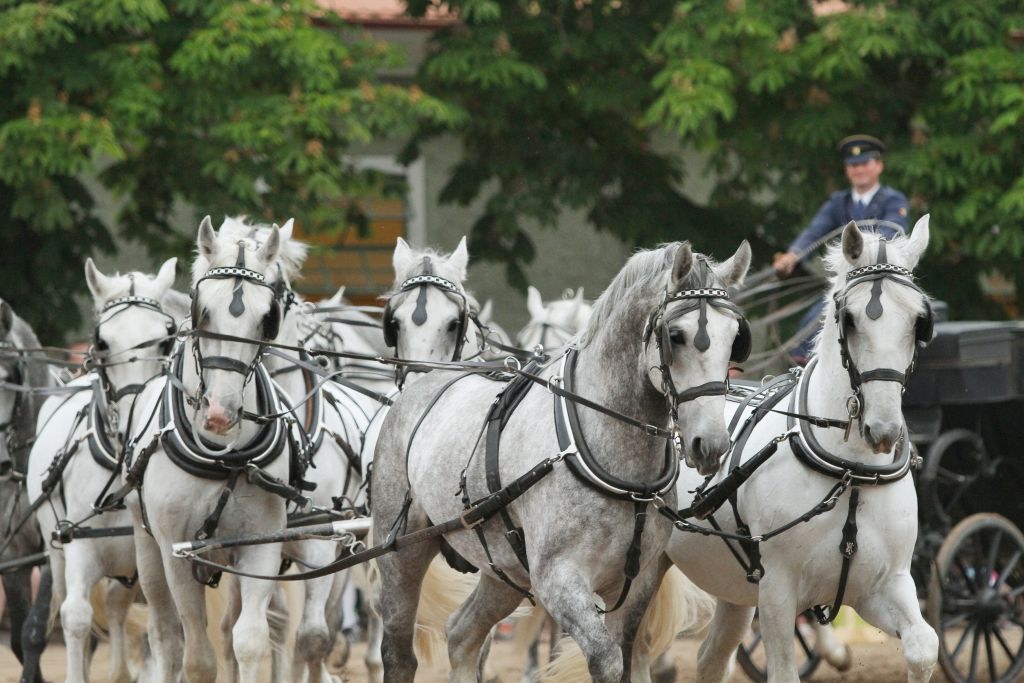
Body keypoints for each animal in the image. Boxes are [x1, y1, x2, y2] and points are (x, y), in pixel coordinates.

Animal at [28, 258, 184, 683]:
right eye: (101, 343)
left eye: (166, 339)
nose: (135, 416)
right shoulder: (80, 547)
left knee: (116, 606)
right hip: (57, 553)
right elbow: (77, 618)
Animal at [372, 240, 749, 683]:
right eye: (676, 335)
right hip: (401, 555)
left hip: (505, 569)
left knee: (462, 634)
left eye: (735, 338)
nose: (710, 444)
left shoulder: (636, 582)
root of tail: (425, 382)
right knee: (400, 653)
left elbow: (627, 657)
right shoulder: (558, 580)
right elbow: (606, 660)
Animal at [659, 220, 937, 683]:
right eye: (849, 319)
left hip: (736, 590)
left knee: (711, 657)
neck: (851, 473)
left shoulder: (884, 585)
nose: (882, 430)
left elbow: (925, 647)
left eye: (919, 322)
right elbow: (784, 671)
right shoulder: (777, 590)